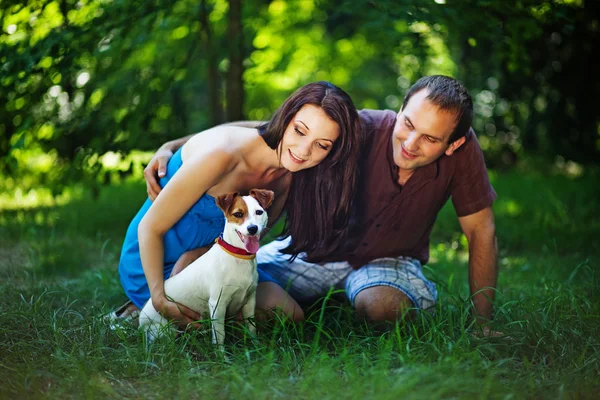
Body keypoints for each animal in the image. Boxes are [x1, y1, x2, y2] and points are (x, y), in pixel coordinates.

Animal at [138, 188, 274, 346]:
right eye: (238, 214)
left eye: (259, 212)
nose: (252, 229)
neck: (238, 257)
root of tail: (141, 319)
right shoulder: (217, 305)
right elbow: (220, 336)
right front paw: (220, 353)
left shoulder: (250, 301)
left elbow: (251, 328)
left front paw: (256, 345)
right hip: (165, 330)